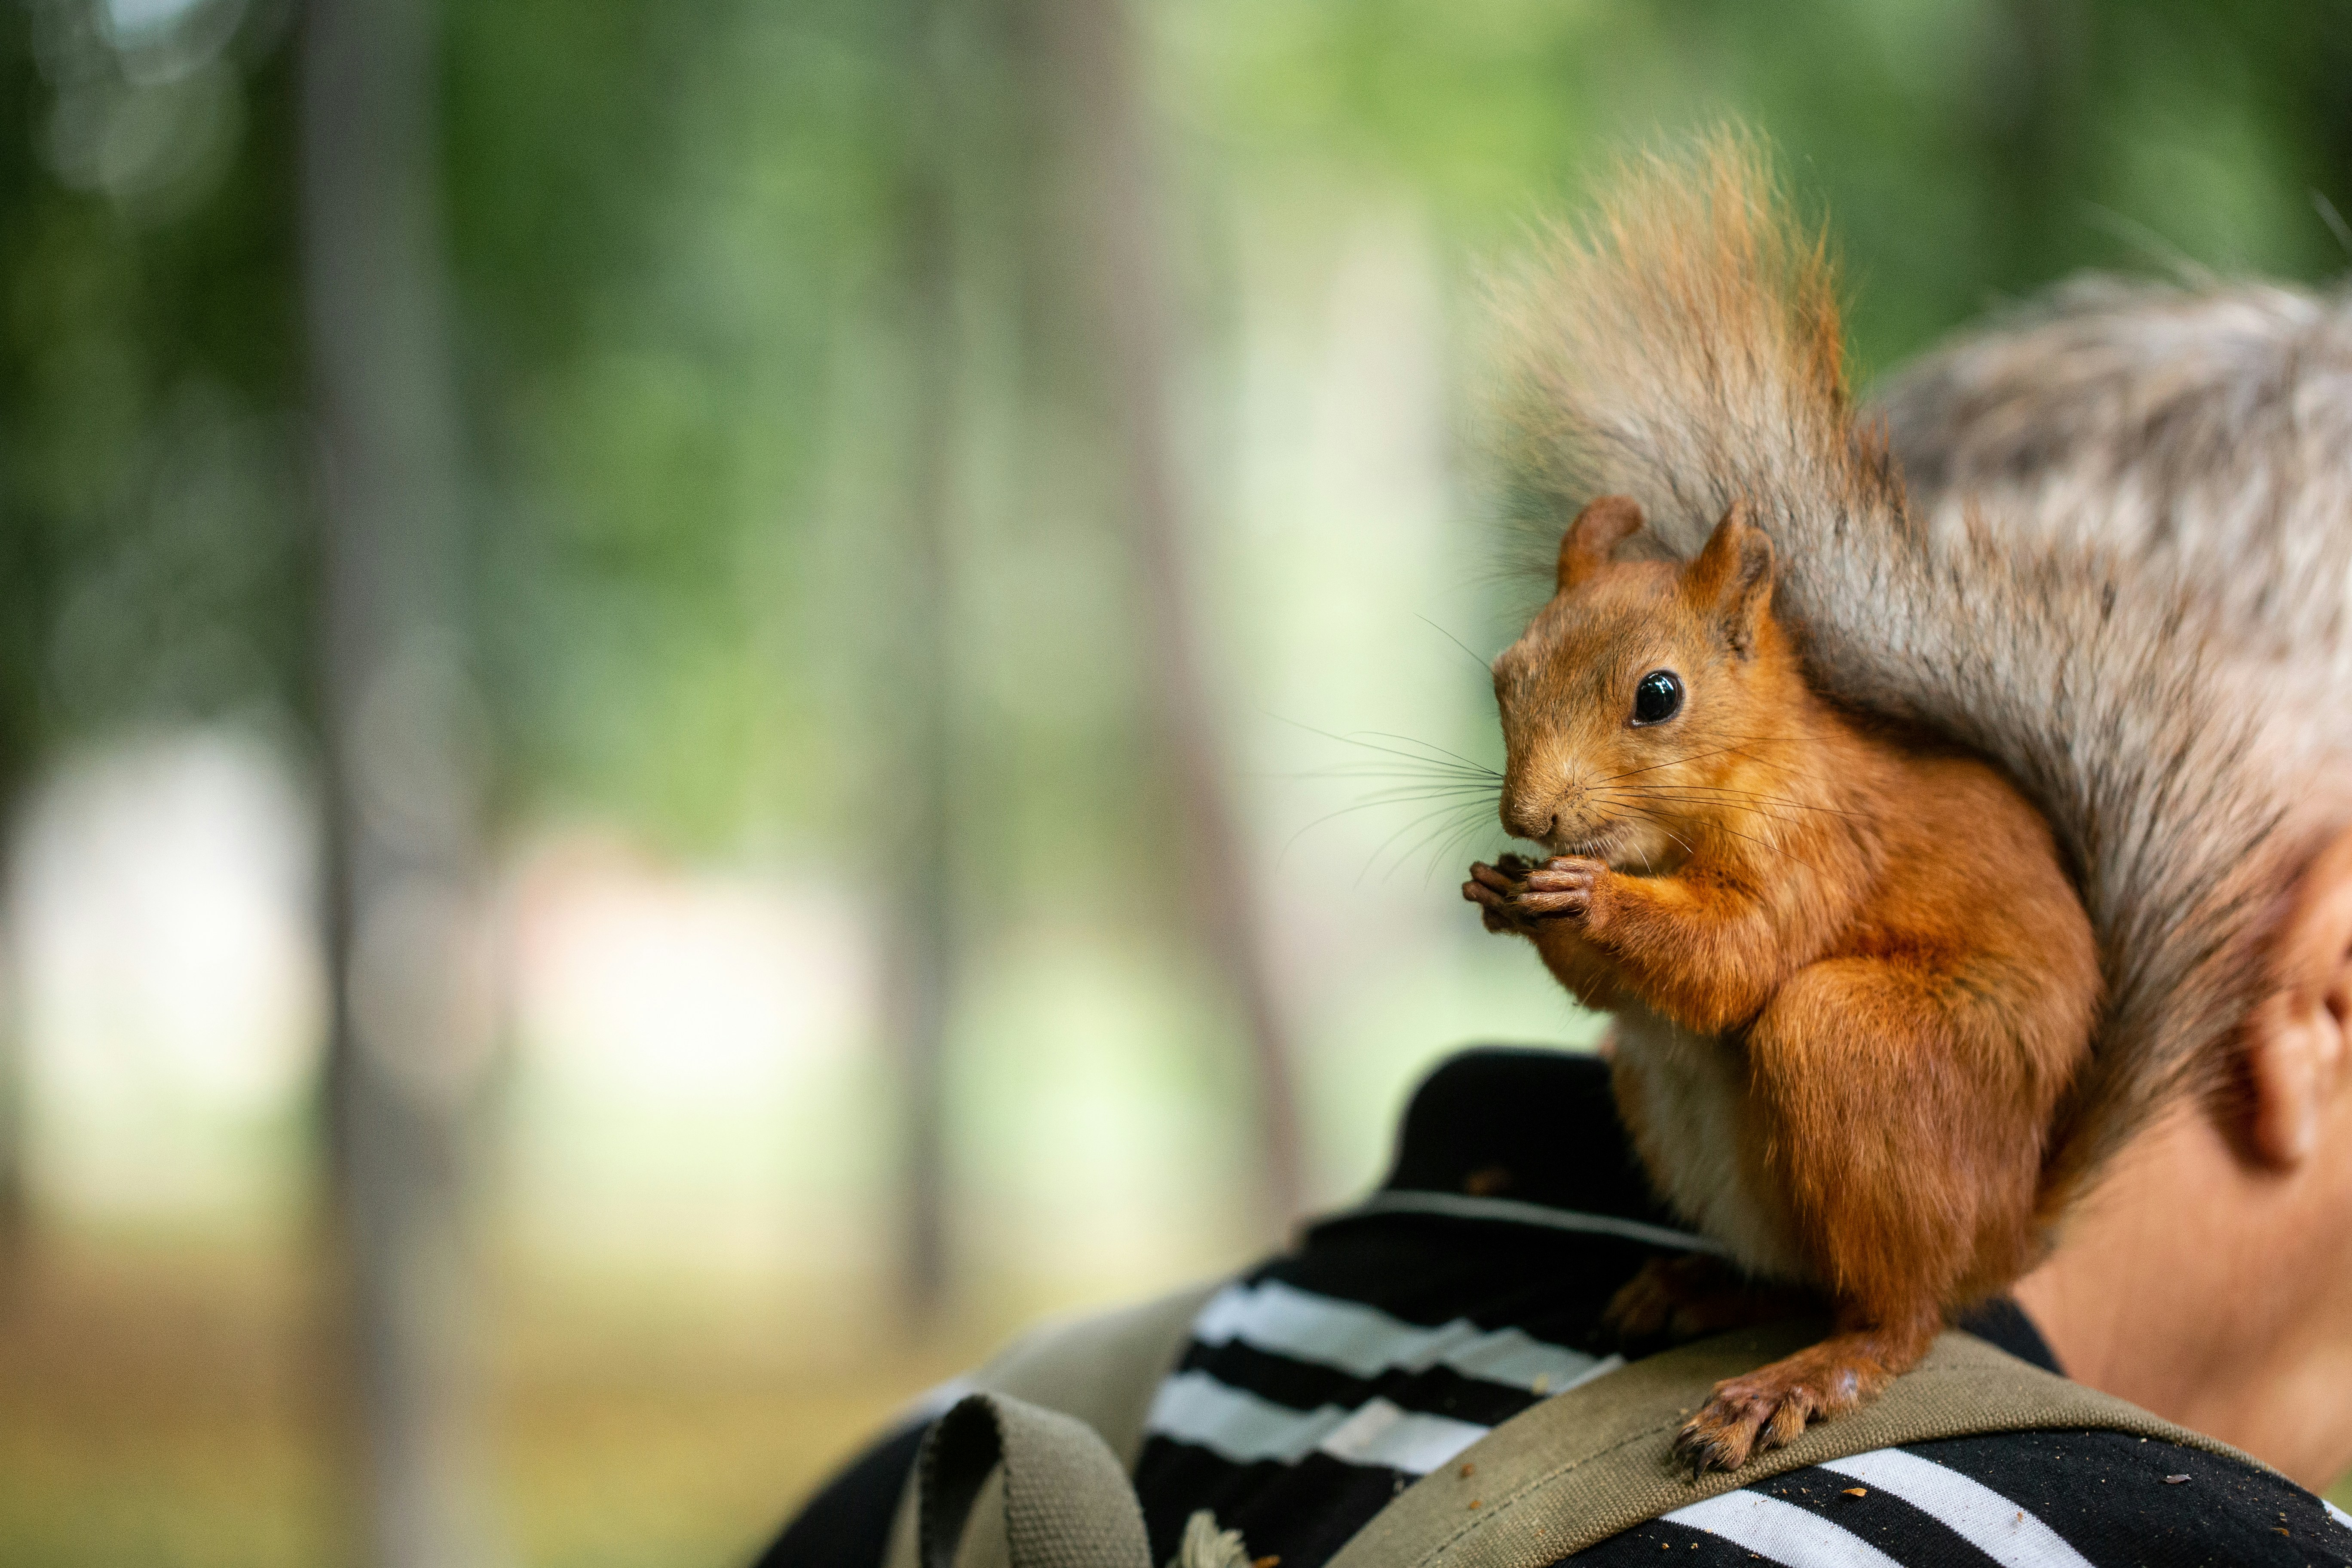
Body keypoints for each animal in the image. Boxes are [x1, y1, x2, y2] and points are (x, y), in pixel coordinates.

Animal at [1462, 492, 2101, 1472]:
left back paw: (1799, 1376)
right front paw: (1504, 892)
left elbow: (1738, 955)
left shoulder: (1815, 847)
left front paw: (1591, 898)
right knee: (1807, 1281)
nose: (1531, 818)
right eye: (1506, 677)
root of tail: (2009, 1233)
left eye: (1658, 695)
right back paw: (1695, 1291)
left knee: (1895, 1317)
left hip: (1853, 1040)